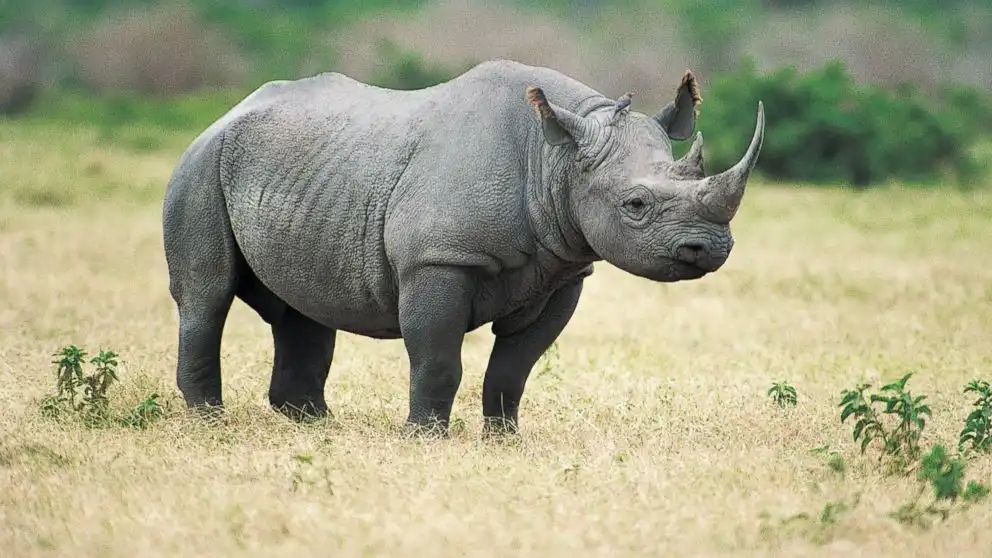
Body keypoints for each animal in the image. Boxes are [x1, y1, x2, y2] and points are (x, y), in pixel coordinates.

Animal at [162, 59, 764, 436]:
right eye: (635, 204)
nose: (710, 248)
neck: (555, 158)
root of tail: (224, 114)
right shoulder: (438, 260)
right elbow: (437, 359)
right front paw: (423, 438)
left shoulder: (563, 271)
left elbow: (515, 366)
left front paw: (505, 440)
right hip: (199, 166)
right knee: (207, 296)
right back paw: (211, 424)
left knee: (304, 307)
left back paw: (319, 427)